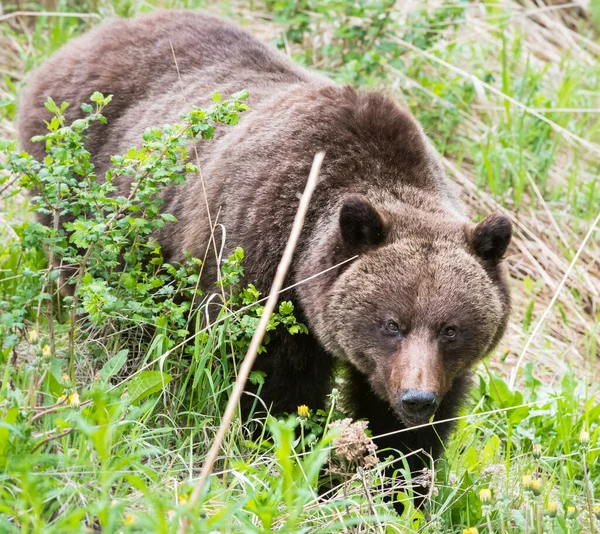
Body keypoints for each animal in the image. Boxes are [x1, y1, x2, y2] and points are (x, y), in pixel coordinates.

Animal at [17, 9, 510, 510]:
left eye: (450, 329)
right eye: (392, 323)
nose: (416, 397)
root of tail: (86, 39)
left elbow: (404, 433)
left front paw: (401, 490)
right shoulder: (260, 264)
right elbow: (273, 390)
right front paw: (294, 465)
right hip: (91, 198)